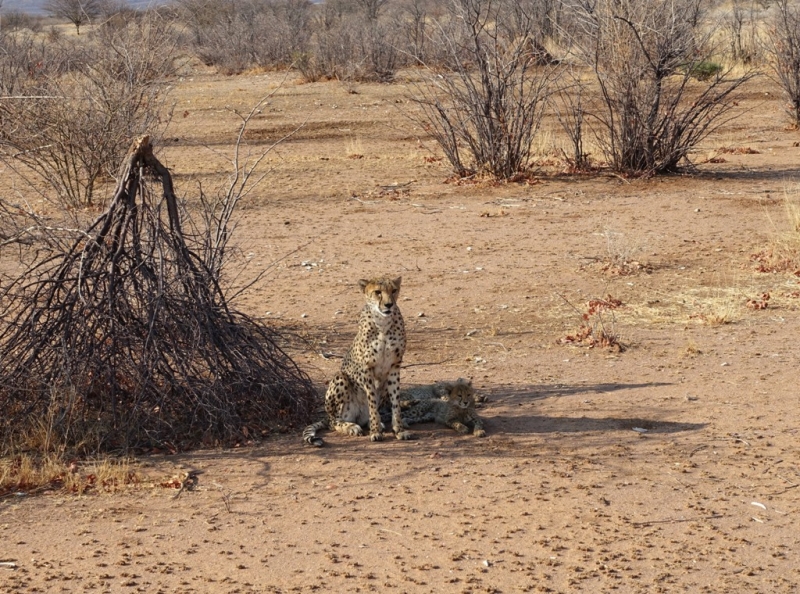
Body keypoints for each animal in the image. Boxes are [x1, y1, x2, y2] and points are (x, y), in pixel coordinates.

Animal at [304, 276, 410, 444]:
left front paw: (399, 430)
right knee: (333, 422)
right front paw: (375, 432)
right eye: (378, 292)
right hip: (340, 379)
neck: (383, 323)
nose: (389, 304)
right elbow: (372, 402)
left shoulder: (394, 366)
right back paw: (351, 427)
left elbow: (395, 402)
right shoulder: (367, 368)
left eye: (394, 290)